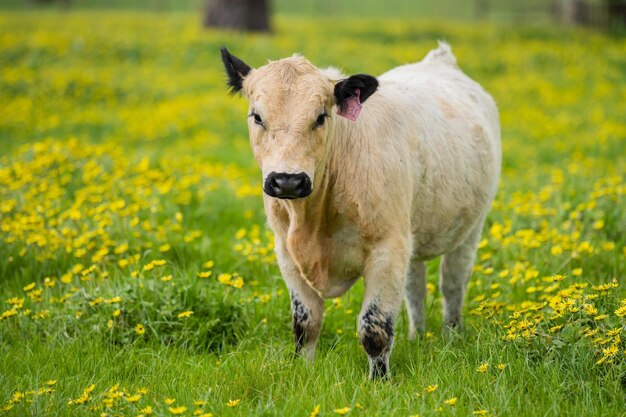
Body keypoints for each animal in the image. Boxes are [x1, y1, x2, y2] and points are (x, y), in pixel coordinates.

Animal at [219, 44, 498, 378]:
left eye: (321, 116)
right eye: (257, 116)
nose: (288, 180)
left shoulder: (387, 249)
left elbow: (375, 327)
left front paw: (379, 381)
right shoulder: (285, 252)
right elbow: (306, 323)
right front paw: (304, 371)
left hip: (470, 228)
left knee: (453, 283)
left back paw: (451, 335)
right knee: (415, 286)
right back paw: (417, 337)